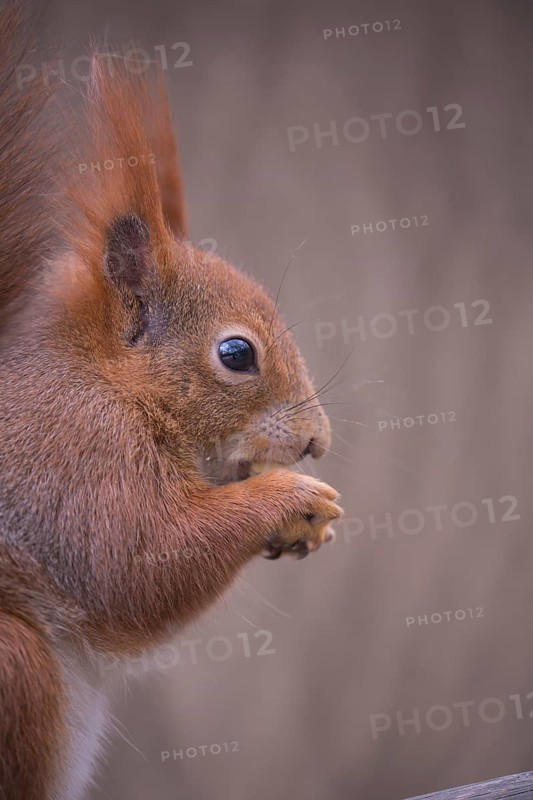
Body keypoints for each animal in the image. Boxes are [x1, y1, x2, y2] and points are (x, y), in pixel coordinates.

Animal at [0, 4, 343, 799]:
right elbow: (139, 563)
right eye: (236, 354)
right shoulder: (72, 454)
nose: (317, 440)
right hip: (13, 667)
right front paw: (290, 497)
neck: (106, 380)